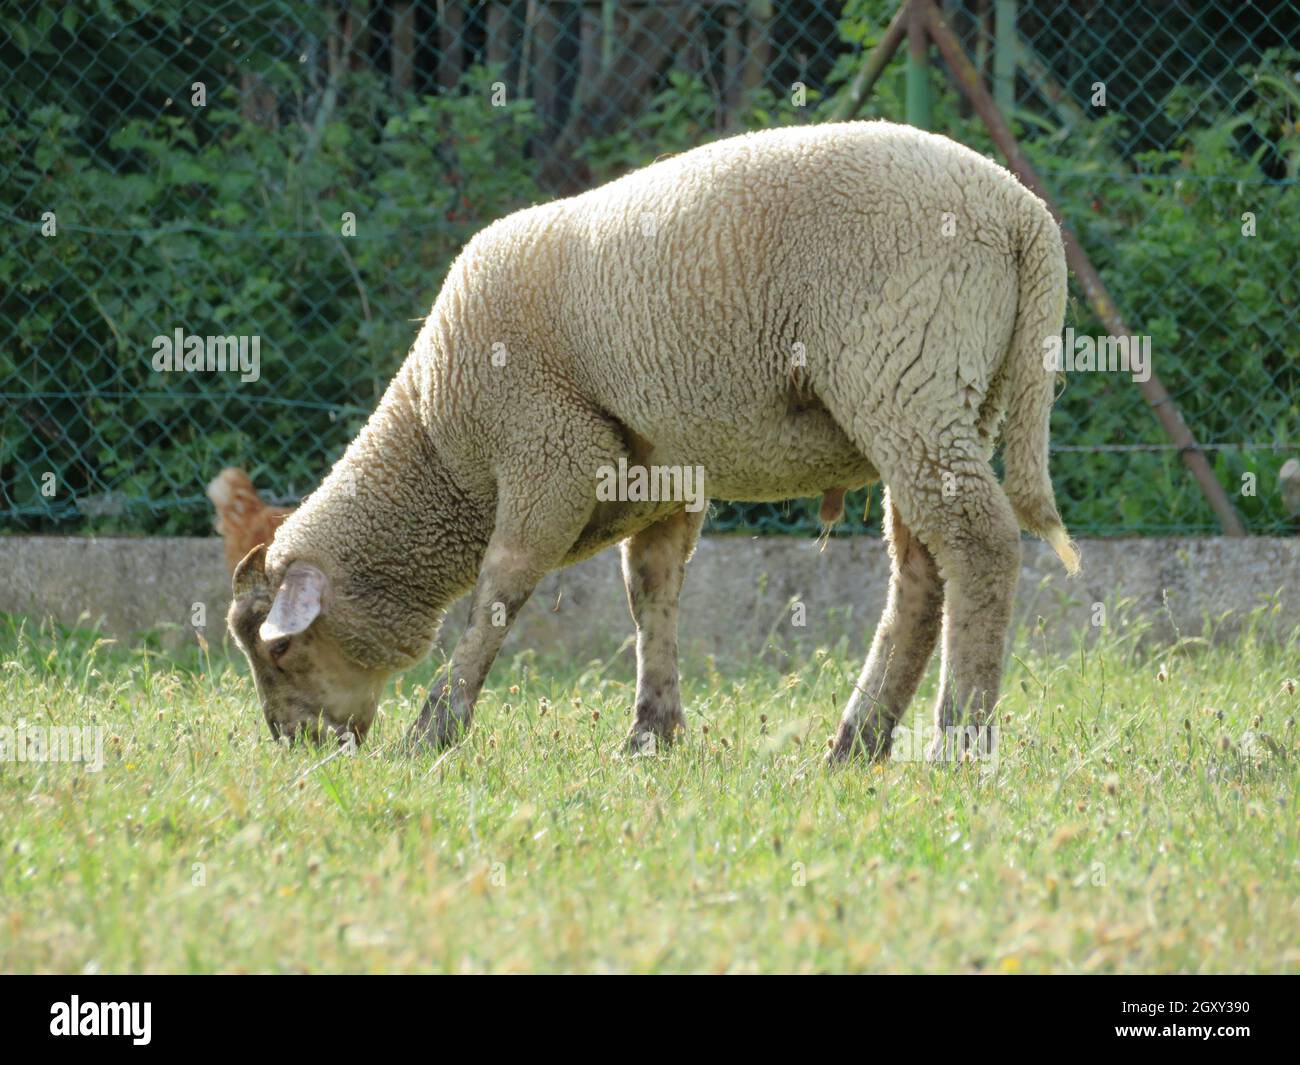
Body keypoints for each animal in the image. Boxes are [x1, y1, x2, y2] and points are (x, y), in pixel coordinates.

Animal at [231, 120, 1076, 764]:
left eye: (278, 650)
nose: (293, 744)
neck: (439, 450)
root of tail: (1020, 213)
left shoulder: (548, 449)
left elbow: (503, 585)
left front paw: (436, 726)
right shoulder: (664, 478)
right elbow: (652, 591)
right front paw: (652, 732)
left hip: (905, 374)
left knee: (979, 545)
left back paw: (957, 740)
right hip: (948, 397)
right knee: (921, 574)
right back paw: (856, 742)